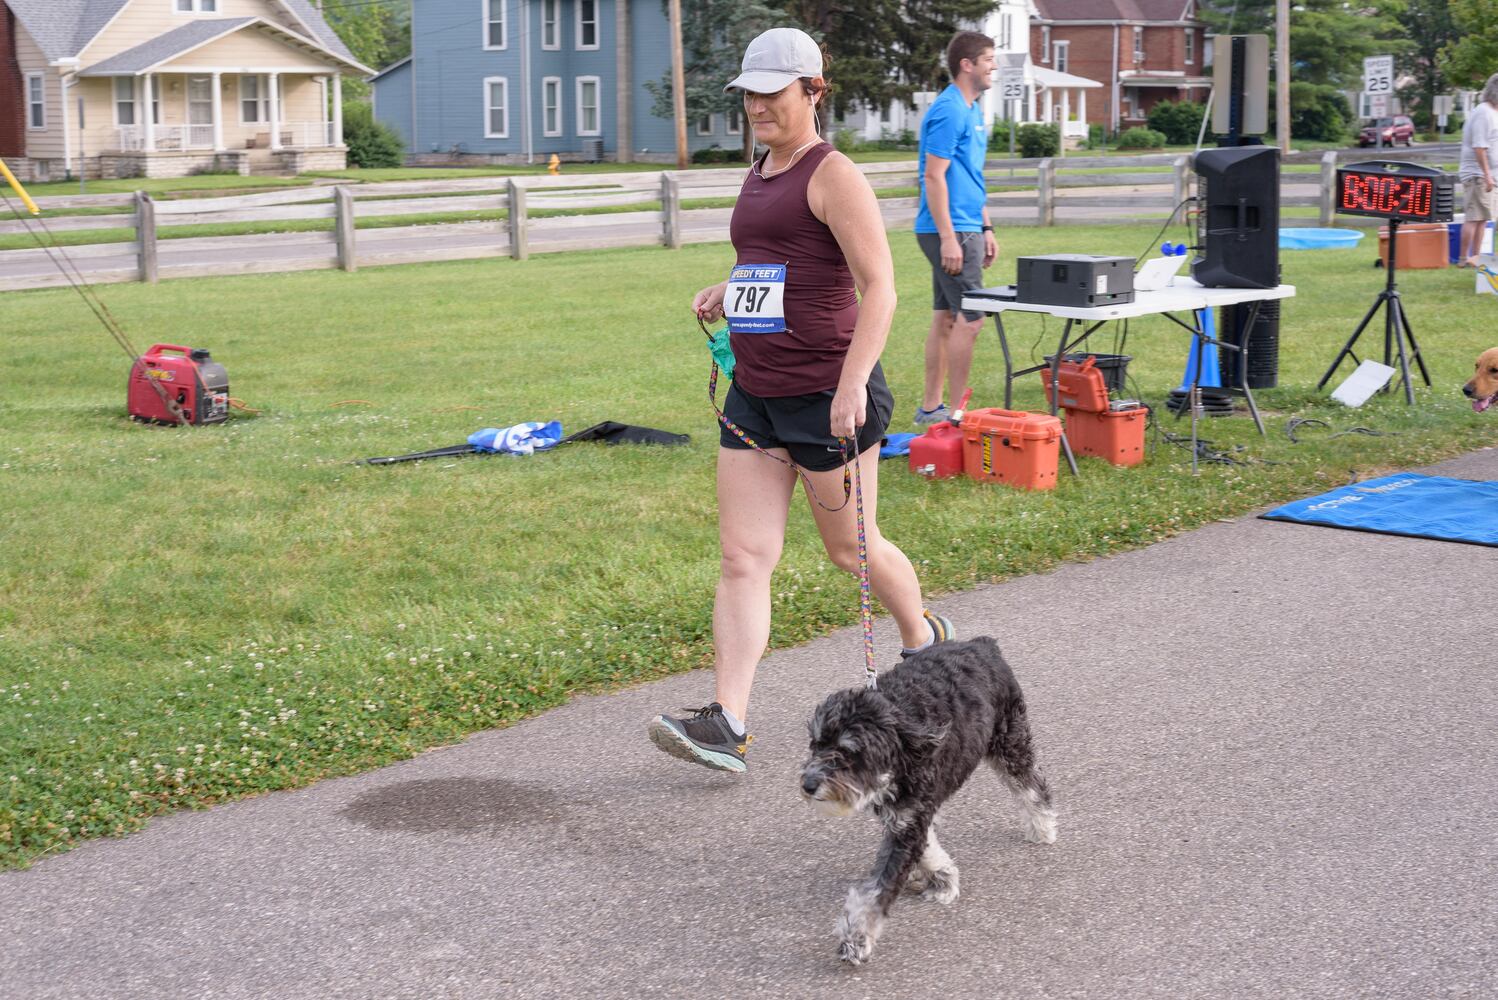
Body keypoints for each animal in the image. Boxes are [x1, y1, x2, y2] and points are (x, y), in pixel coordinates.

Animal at [796, 637, 1054, 964]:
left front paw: (856, 938)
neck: (901, 735)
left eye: (849, 751)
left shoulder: (910, 821)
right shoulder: (906, 815)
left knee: (1029, 784)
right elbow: (929, 848)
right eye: (816, 743)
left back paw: (1043, 826)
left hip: (1009, 738)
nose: (808, 784)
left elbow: (875, 891)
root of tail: (983, 644)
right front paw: (942, 878)